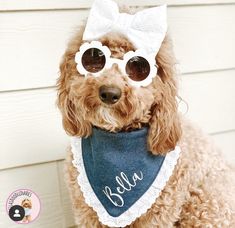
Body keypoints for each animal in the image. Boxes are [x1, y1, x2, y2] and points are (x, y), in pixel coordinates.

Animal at [56, 2, 234, 228]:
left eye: (138, 65)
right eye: (94, 57)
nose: (109, 93)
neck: (119, 141)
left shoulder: (158, 213)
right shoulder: (85, 210)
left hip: (206, 205)